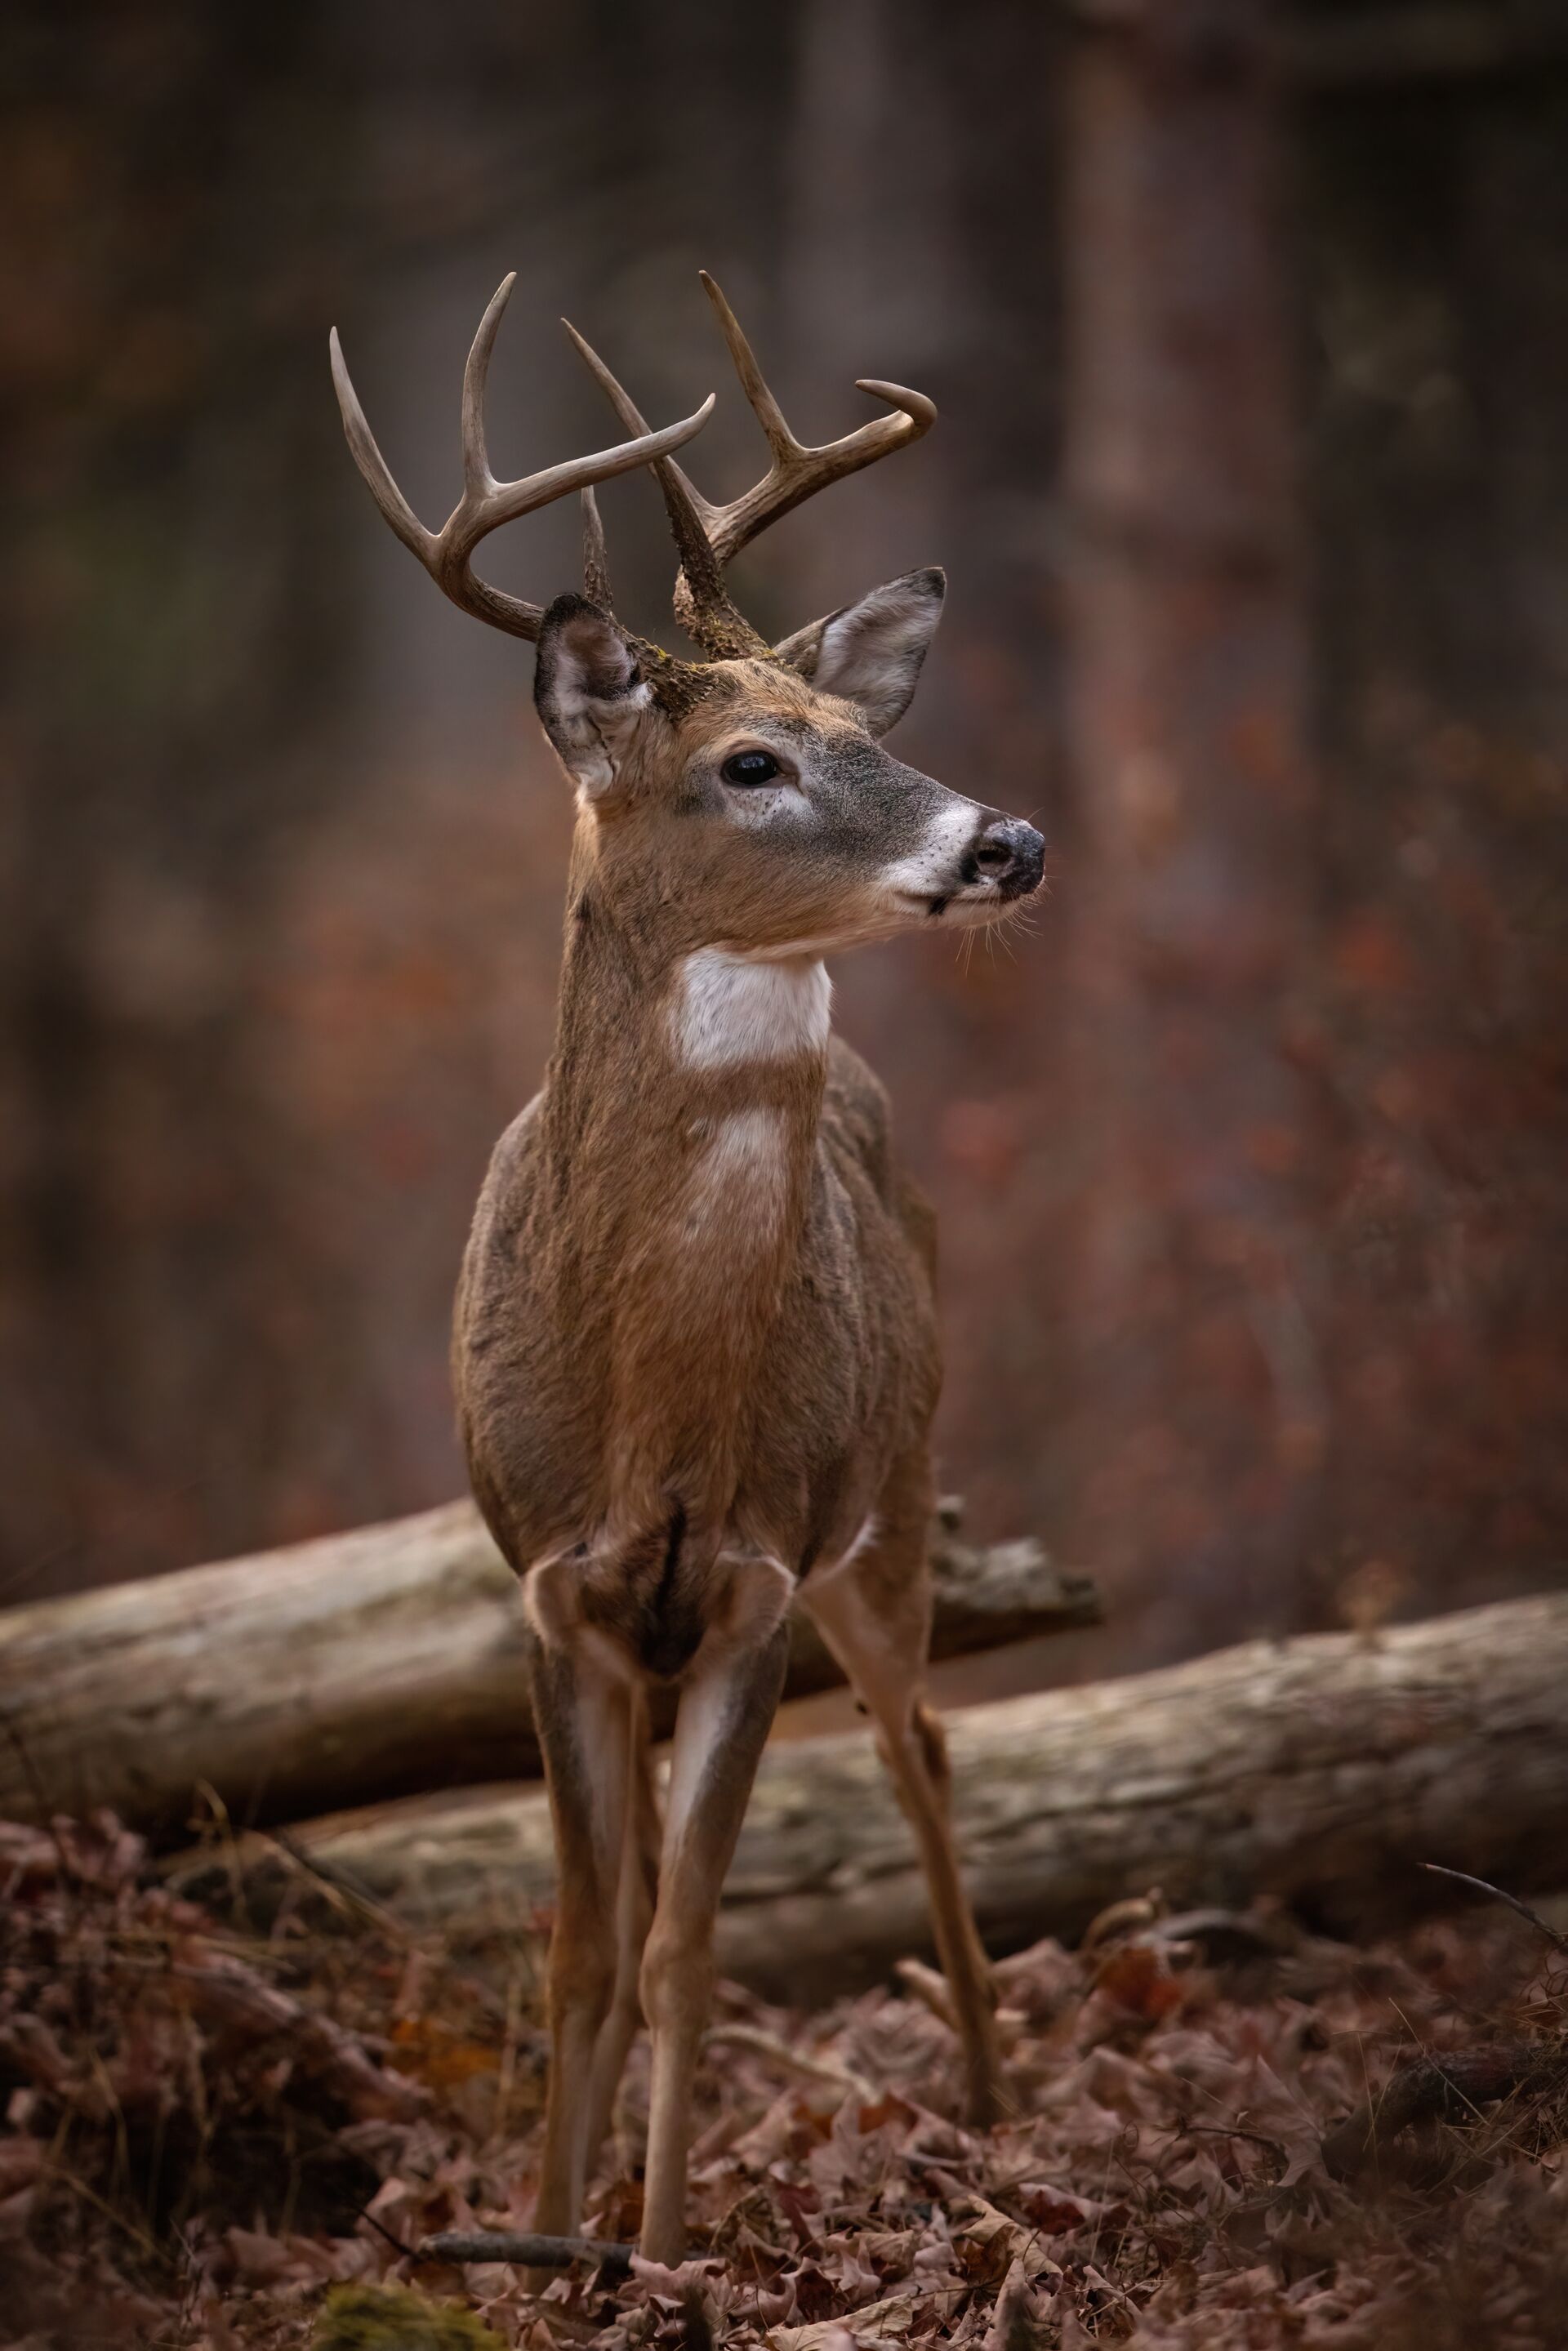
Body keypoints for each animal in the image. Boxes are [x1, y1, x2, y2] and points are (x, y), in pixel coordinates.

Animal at [329, 273, 1044, 2268]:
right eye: (752, 760)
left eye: (850, 721)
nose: (1010, 838)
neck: (649, 1400)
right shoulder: (551, 1587)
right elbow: (586, 1946)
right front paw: (544, 2228)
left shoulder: (756, 1578)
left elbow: (686, 1947)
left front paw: (649, 2253)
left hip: (895, 1499)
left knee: (925, 1748)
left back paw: (992, 2101)